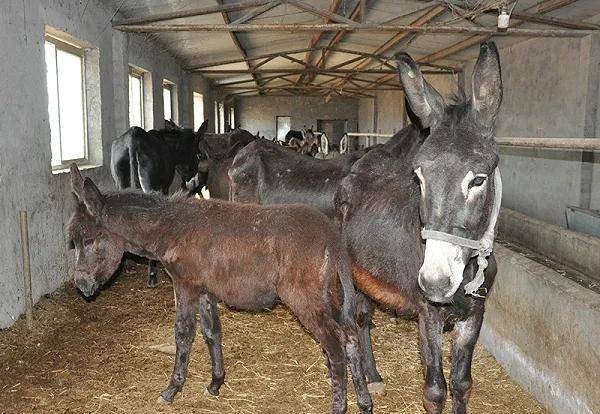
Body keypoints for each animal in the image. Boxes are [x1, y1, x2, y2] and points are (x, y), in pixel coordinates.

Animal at [68, 165, 372, 414]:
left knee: (335, 347)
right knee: (350, 336)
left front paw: (171, 390)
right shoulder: (205, 290)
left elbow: (183, 334)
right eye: (74, 242)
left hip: (305, 298)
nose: (81, 285)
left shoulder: (186, 285)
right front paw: (215, 383)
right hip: (327, 295)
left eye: (88, 240)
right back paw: (365, 403)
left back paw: (339, 406)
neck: (170, 228)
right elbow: (211, 332)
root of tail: (332, 236)